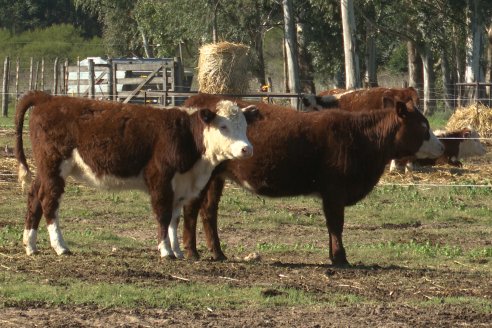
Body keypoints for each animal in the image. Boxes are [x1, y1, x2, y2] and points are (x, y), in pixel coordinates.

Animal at [14, 91, 258, 258]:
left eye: (244, 126)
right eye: (223, 126)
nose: (247, 149)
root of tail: (47, 98)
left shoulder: (179, 184)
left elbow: (175, 218)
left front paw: (177, 251)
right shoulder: (160, 179)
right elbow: (163, 215)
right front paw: (166, 251)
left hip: (45, 170)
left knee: (34, 196)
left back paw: (30, 245)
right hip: (54, 166)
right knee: (49, 201)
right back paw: (60, 246)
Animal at [178, 93, 446, 266]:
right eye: (423, 126)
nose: (442, 146)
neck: (361, 138)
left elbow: (332, 226)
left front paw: (334, 256)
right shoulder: (335, 190)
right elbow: (336, 224)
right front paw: (340, 258)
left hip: (216, 177)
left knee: (209, 211)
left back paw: (218, 253)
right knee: (192, 208)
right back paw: (192, 252)